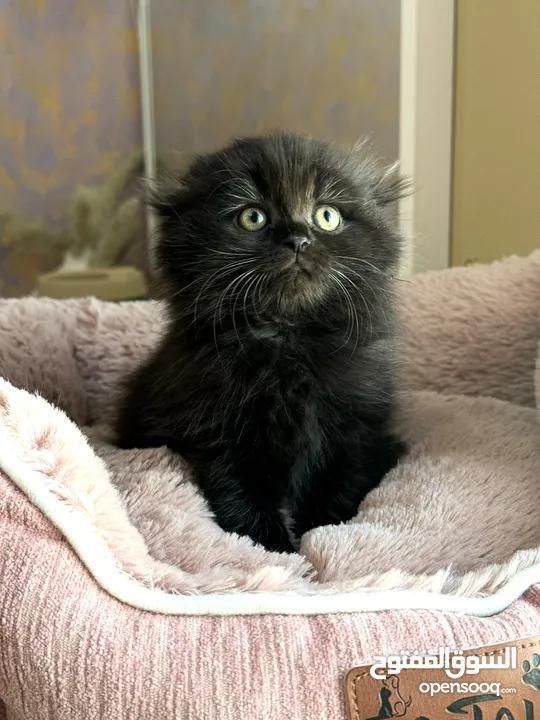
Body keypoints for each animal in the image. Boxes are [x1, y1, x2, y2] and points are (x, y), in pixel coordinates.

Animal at [116, 132, 408, 556]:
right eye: (253, 217)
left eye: (327, 216)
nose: (298, 240)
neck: (286, 340)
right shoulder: (216, 429)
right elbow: (239, 492)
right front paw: (275, 548)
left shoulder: (357, 424)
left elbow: (340, 483)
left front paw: (320, 533)